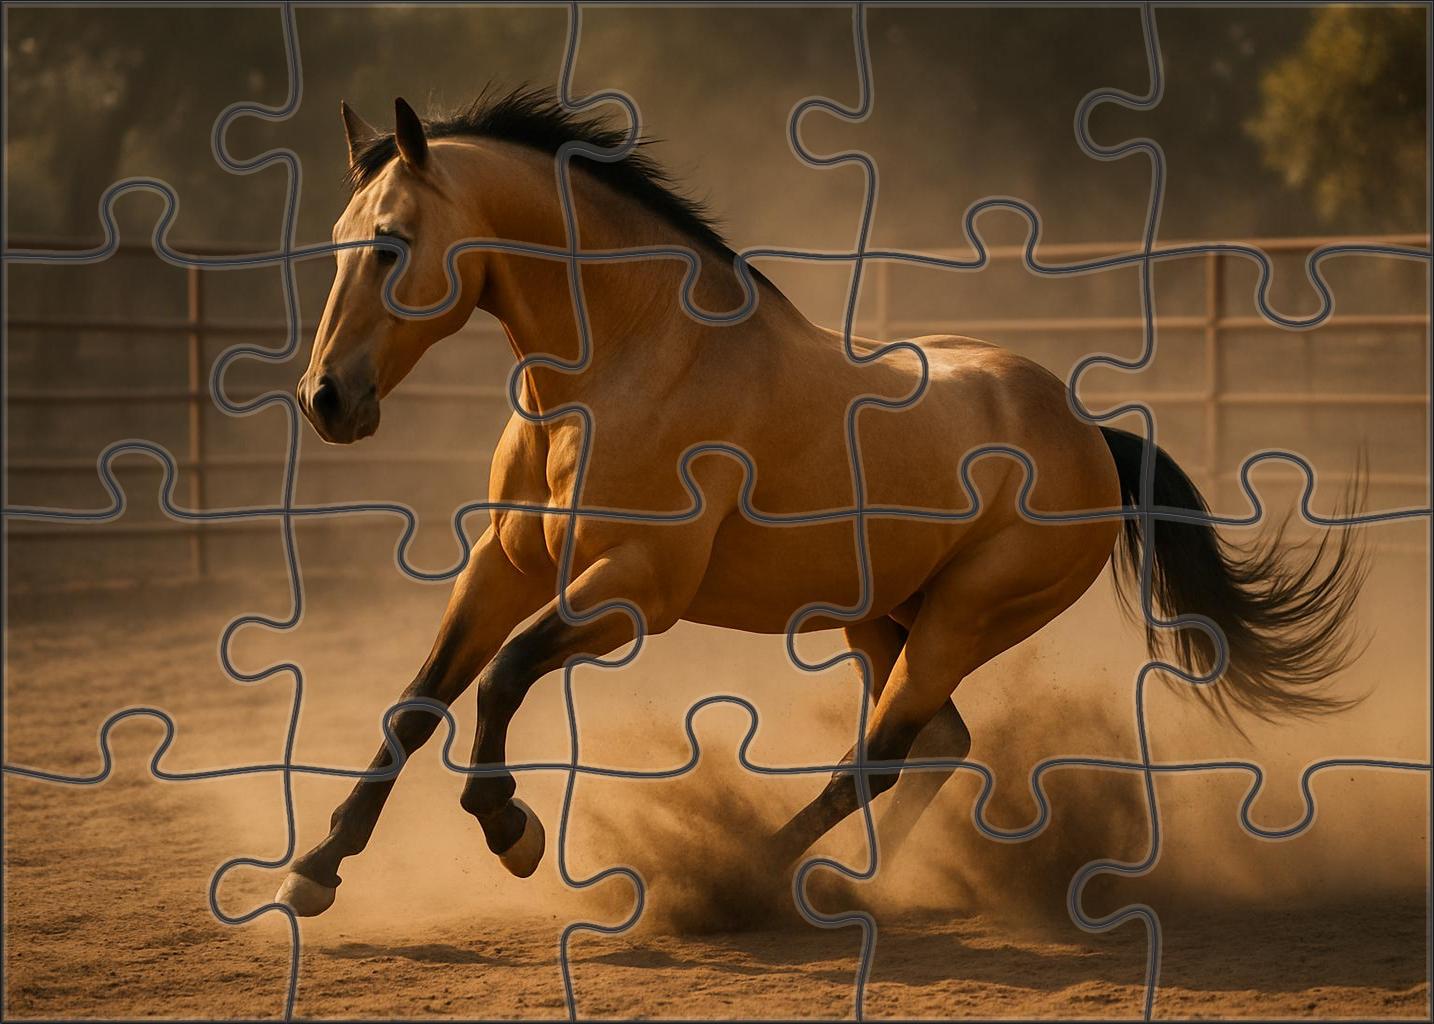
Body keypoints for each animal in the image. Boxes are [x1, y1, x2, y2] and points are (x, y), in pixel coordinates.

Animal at [276, 90, 1364, 917]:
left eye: (391, 245)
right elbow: (418, 701)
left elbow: (501, 677)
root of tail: (1092, 435)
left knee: (880, 757)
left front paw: (511, 828)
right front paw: (314, 871)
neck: (622, 363)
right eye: (335, 241)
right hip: (882, 619)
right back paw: (843, 882)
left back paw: (748, 879)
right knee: (938, 745)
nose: (326, 400)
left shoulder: (635, 589)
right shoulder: (508, 565)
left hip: (965, 618)